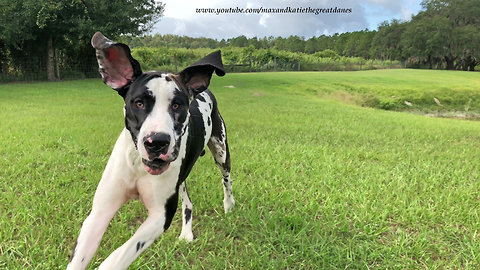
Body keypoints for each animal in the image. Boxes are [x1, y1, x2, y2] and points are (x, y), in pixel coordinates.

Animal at [67, 32, 234, 270]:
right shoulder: (100, 210)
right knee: (188, 203)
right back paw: (187, 233)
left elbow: (118, 256)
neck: (138, 165)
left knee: (226, 179)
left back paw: (229, 205)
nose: (156, 142)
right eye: (138, 103)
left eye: (177, 105)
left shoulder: (160, 215)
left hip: (221, 151)